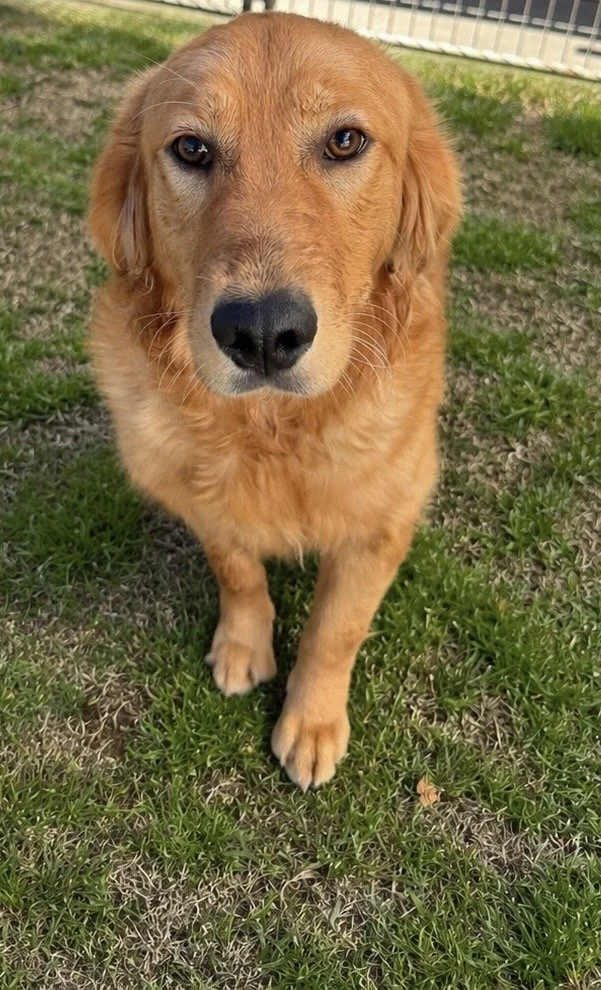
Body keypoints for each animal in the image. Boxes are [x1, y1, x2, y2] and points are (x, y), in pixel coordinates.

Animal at [87, 12, 461, 790]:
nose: (260, 333)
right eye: (192, 148)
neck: (271, 430)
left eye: (344, 141)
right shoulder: (192, 492)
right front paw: (243, 646)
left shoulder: (381, 525)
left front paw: (311, 723)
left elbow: (335, 630)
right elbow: (237, 569)